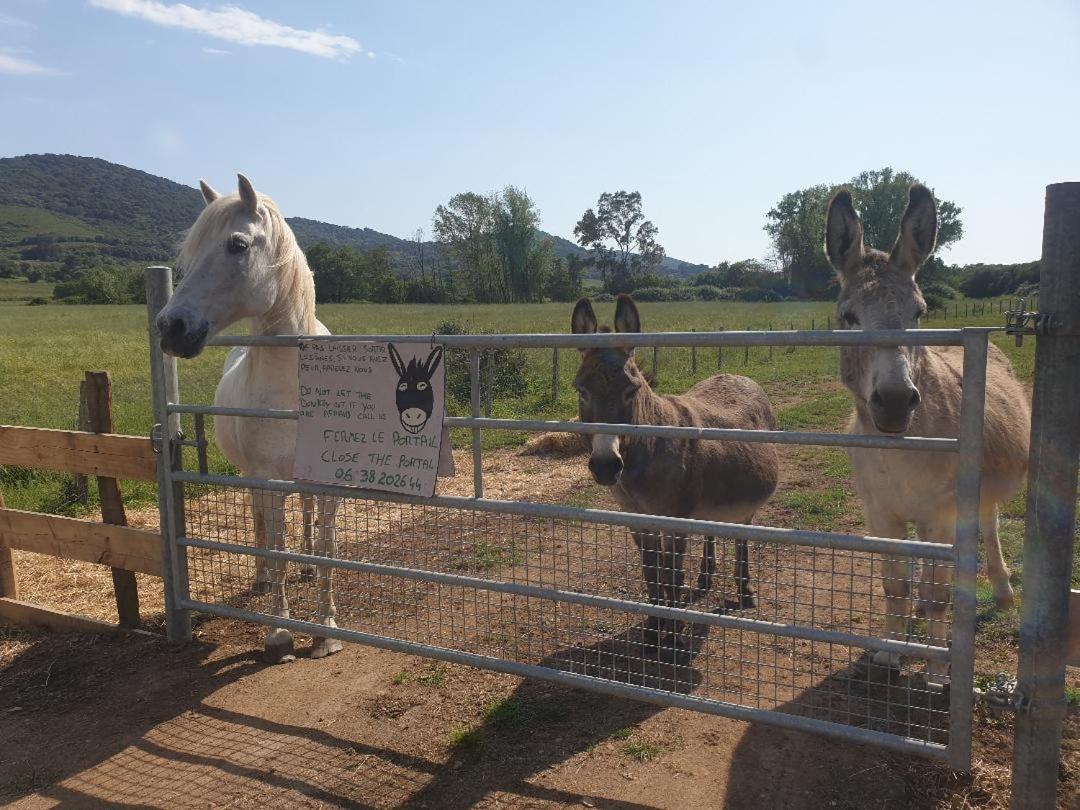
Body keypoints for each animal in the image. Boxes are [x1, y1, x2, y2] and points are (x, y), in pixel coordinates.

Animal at [156, 174, 339, 660]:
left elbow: (327, 549)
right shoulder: (267, 478)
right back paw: (259, 580)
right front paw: (280, 631)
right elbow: (275, 547)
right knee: (258, 521)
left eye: (236, 245)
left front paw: (327, 629)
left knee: (304, 516)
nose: (170, 327)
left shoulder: (327, 482)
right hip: (252, 475)